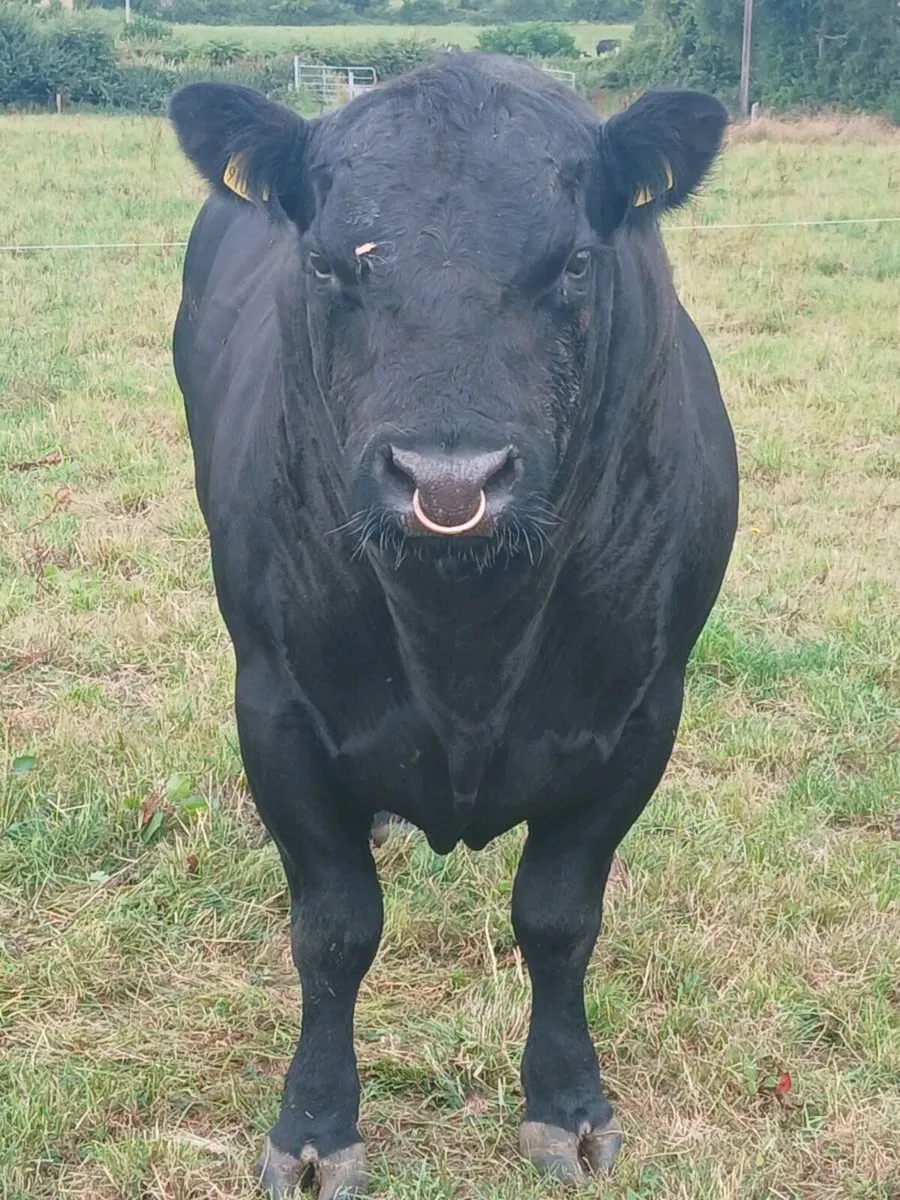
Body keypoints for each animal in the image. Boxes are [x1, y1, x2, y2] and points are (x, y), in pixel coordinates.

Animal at [168, 53, 737, 1198]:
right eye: (331, 265)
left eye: (574, 262)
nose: (449, 480)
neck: (468, 639)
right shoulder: (276, 707)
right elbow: (334, 930)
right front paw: (315, 1126)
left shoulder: (640, 713)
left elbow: (559, 917)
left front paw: (568, 1108)